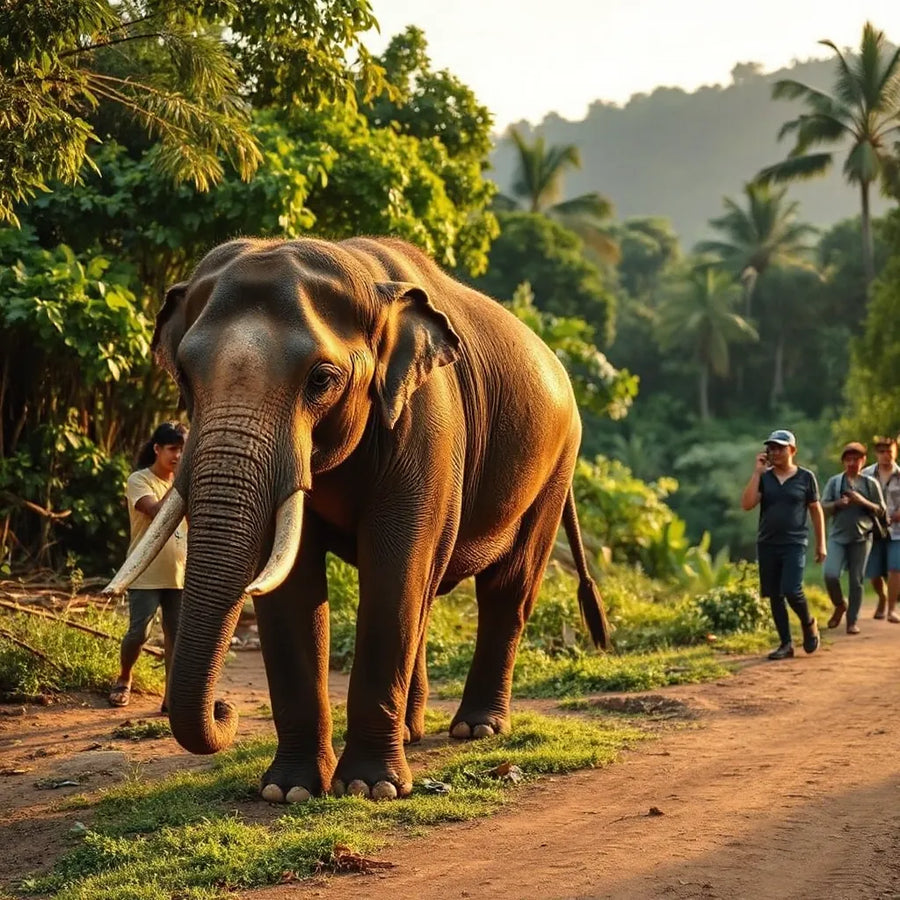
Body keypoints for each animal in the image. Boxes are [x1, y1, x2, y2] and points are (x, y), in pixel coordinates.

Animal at [105, 235, 609, 802]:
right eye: (185, 377)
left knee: (507, 588)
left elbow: (393, 573)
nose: (224, 708)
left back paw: (476, 728)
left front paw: (372, 788)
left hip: (556, 465)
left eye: (321, 379)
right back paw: (411, 732)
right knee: (429, 598)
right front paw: (289, 791)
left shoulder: (428, 426)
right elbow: (292, 587)